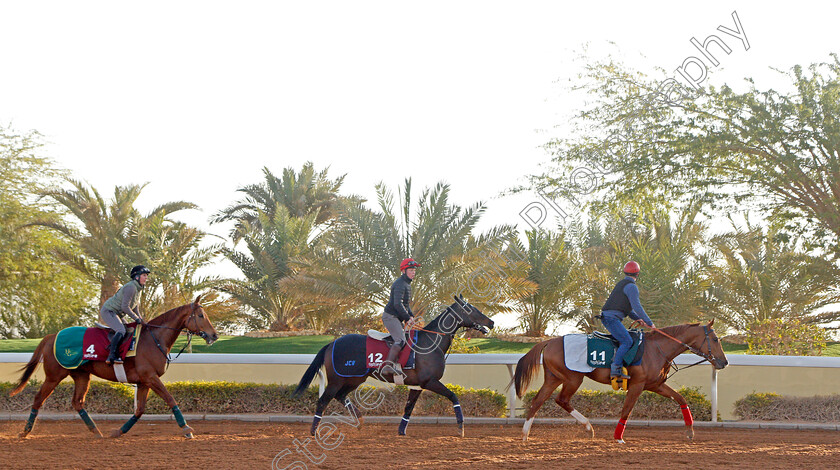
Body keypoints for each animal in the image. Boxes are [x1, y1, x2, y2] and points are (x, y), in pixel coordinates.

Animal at [9, 296, 218, 438]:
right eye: (201, 315)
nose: (214, 335)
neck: (154, 338)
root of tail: (52, 336)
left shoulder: (144, 382)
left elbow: (139, 410)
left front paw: (118, 431)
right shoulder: (150, 377)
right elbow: (170, 399)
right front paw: (186, 429)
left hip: (81, 376)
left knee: (77, 402)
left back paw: (96, 431)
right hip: (54, 375)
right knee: (38, 399)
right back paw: (25, 432)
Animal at [296, 298, 492, 436]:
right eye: (471, 309)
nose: (492, 322)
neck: (431, 342)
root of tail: (332, 343)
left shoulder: (417, 385)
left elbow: (409, 408)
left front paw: (401, 431)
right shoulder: (430, 382)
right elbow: (453, 396)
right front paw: (461, 427)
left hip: (355, 379)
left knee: (341, 396)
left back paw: (360, 421)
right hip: (337, 379)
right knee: (323, 401)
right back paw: (314, 431)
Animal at [512, 322, 728, 442]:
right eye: (716, 339)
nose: (724, 362)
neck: (656, 349)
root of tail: (549, 341)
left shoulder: (655, 385)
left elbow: (681, 399)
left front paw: (690, 431)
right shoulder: (637, 385)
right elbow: (627, 410)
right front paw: (618, 437)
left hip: (554, 378)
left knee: (538, 401)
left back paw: (526, 434)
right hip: (573, 378)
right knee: (561, 399)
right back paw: (587, 427)